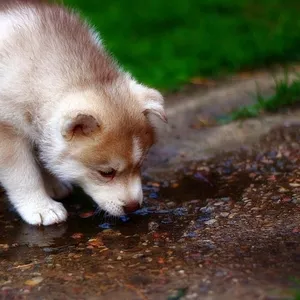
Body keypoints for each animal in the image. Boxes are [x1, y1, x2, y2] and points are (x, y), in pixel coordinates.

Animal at [0, 0, 166, 225]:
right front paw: (41, 207)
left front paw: (53, 184)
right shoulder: (8, 130)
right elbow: (24, 175)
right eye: (106, 173)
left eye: (139, 164)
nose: (133, 207)